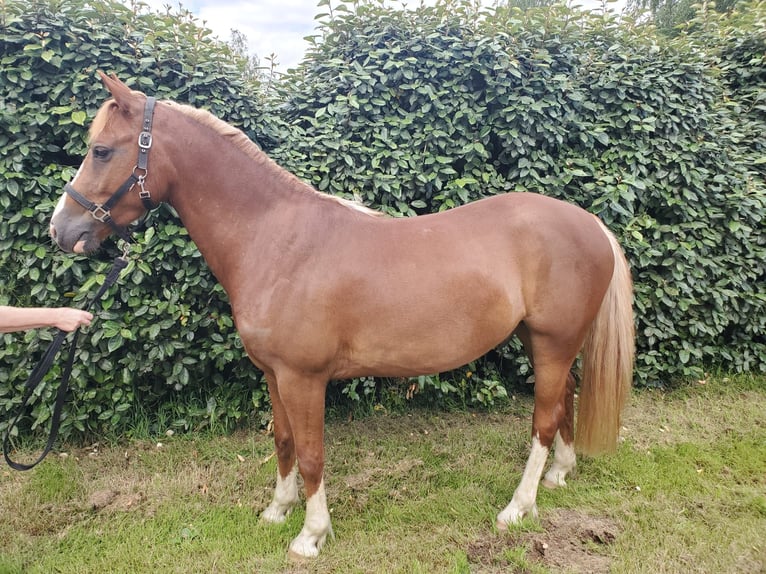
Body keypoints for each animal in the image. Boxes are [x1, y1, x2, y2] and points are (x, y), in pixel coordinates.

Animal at [49, 74, 636, 560]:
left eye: (101, 150)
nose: (61, 230)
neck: (276, 239)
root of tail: (590, 223)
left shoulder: (304, 378)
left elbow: (311, 454)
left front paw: (311, 535)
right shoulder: (275, 375)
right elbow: (284, 443)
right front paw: (277, 511)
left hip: (553, 342)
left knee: (543, 418)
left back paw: (518, 507)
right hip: (542, 340)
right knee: (564, 400)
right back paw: (558, 476)